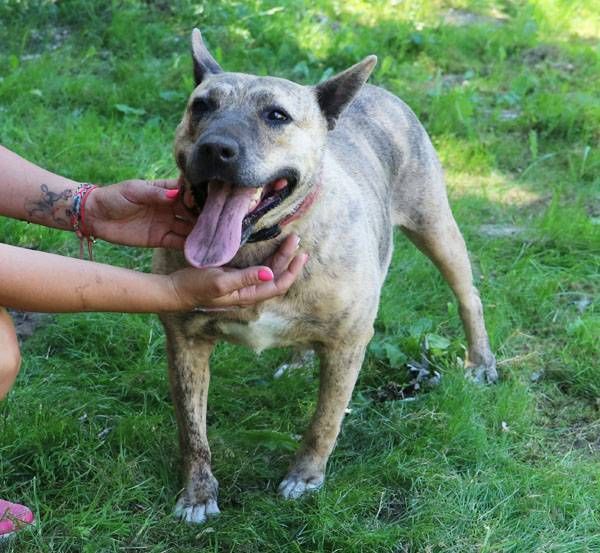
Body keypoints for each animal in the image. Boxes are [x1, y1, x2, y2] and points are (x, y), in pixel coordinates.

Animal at [153, 29, 497, 523]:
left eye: (277, 115)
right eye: (201, 106)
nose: (216, 148)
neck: (259, 241)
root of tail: (376, 90)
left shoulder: (349, 343)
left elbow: (326, 420)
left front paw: (306, 477)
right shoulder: (185, 341)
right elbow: (192, 429)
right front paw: (198, 493)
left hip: (436, 226)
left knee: (468, 295)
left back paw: (481, 361)